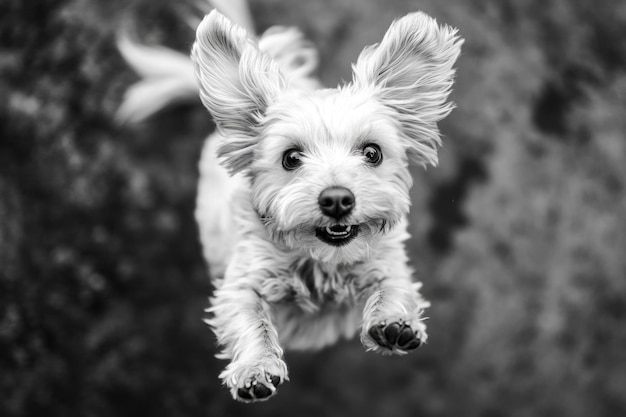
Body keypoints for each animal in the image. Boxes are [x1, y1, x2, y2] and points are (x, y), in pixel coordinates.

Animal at [118, 0, 458, 404]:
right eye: (291, 158)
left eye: (372, 152)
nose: (337, 199)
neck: (321, 261)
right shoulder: (242, 281)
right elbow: (250, 320)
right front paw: (255, 367)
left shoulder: (388, 261)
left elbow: (395, 286)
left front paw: (395, 321)